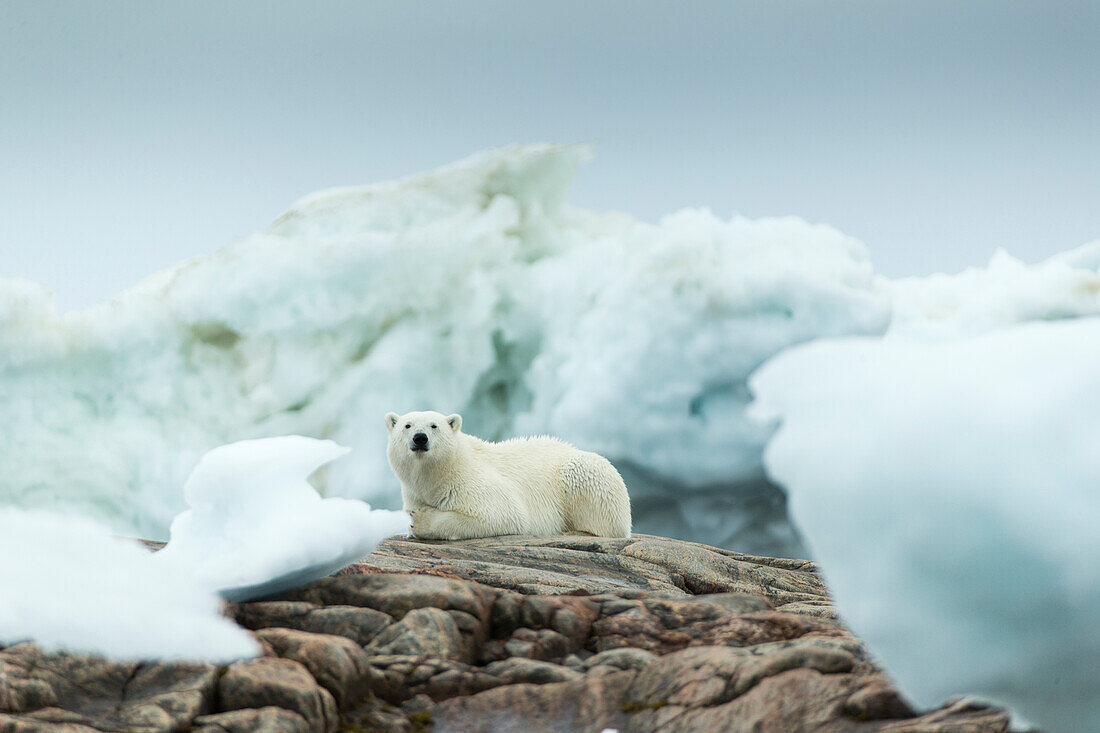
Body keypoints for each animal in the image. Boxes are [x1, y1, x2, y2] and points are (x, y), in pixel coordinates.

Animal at [387, 407, 633, 539]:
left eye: (434, 425)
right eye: (407, 425)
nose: (420, 438)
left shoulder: (472, 483)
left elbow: (504, 515)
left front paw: (419, 520)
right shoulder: (414, 493)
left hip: (584, 473)